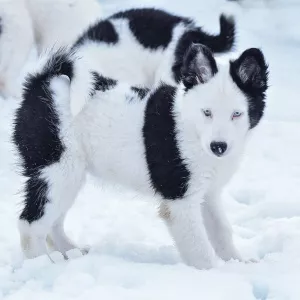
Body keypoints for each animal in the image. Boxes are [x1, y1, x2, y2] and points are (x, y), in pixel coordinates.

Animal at [12, 44, 268, 270]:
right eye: (207, 112)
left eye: (237, 114)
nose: (219, 147)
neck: (190, 127)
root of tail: (43, 80)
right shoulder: (180, 201)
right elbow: (199, 248)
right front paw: (215, 275)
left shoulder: (209, 194)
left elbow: (221, 232)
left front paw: (239, 264)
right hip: (57, 169)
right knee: (30, 223)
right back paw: (41, 265)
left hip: (68, 175)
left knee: (53, 221)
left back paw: (69, 251)